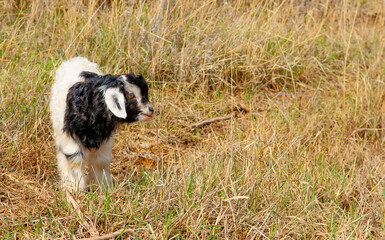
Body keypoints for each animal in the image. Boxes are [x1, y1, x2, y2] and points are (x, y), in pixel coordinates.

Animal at [49, 56, 153, 191]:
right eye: (130, 94)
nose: (151, 109)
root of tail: (76, 59)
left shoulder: (105, 138)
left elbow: (101, 161)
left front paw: (102, 187)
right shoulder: (70, 136)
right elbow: (75, 160)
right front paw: (75, 189)